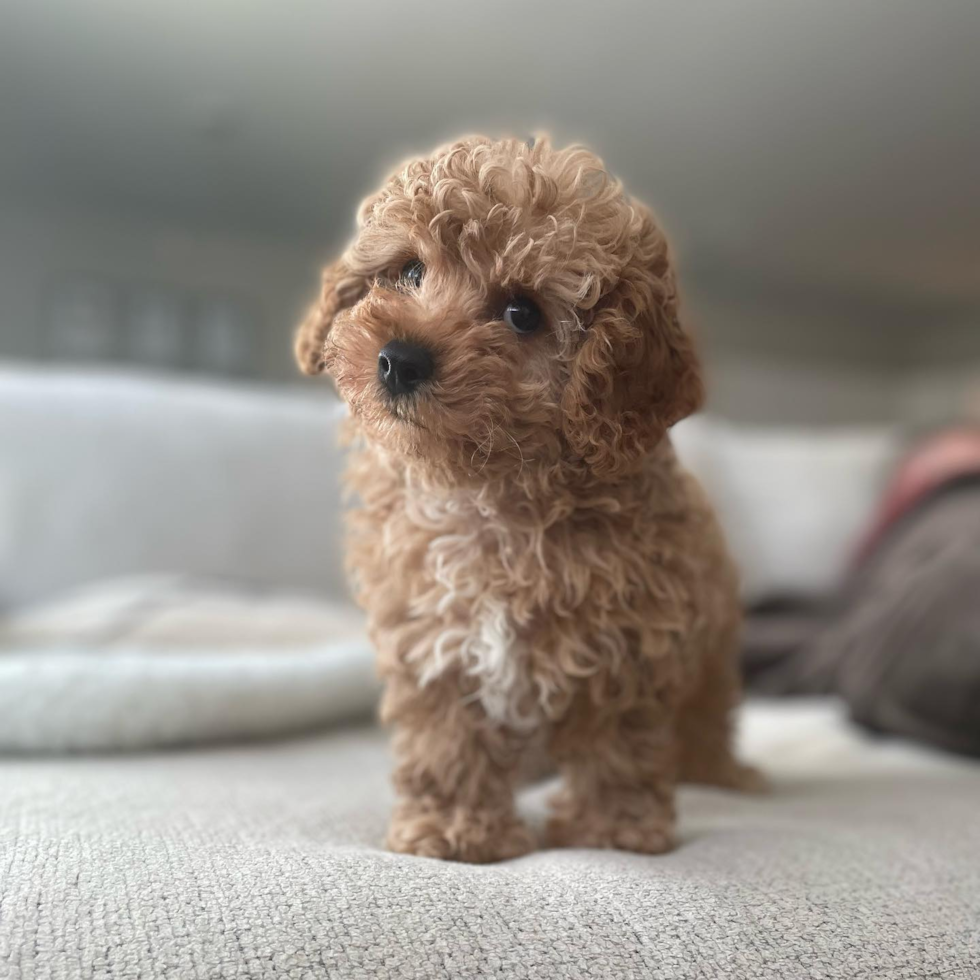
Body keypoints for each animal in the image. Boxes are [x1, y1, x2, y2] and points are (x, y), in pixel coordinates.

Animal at [294, 134, 760, 860]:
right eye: (409, 271)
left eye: (523, 313)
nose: (398, 359)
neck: (491, 495)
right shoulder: (432, 639)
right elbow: (447, 740)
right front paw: (454, 826)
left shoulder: (629, 638)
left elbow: (619, 741)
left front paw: (613, 828)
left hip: (710, 658)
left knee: (706, 720)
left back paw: (722, 773)